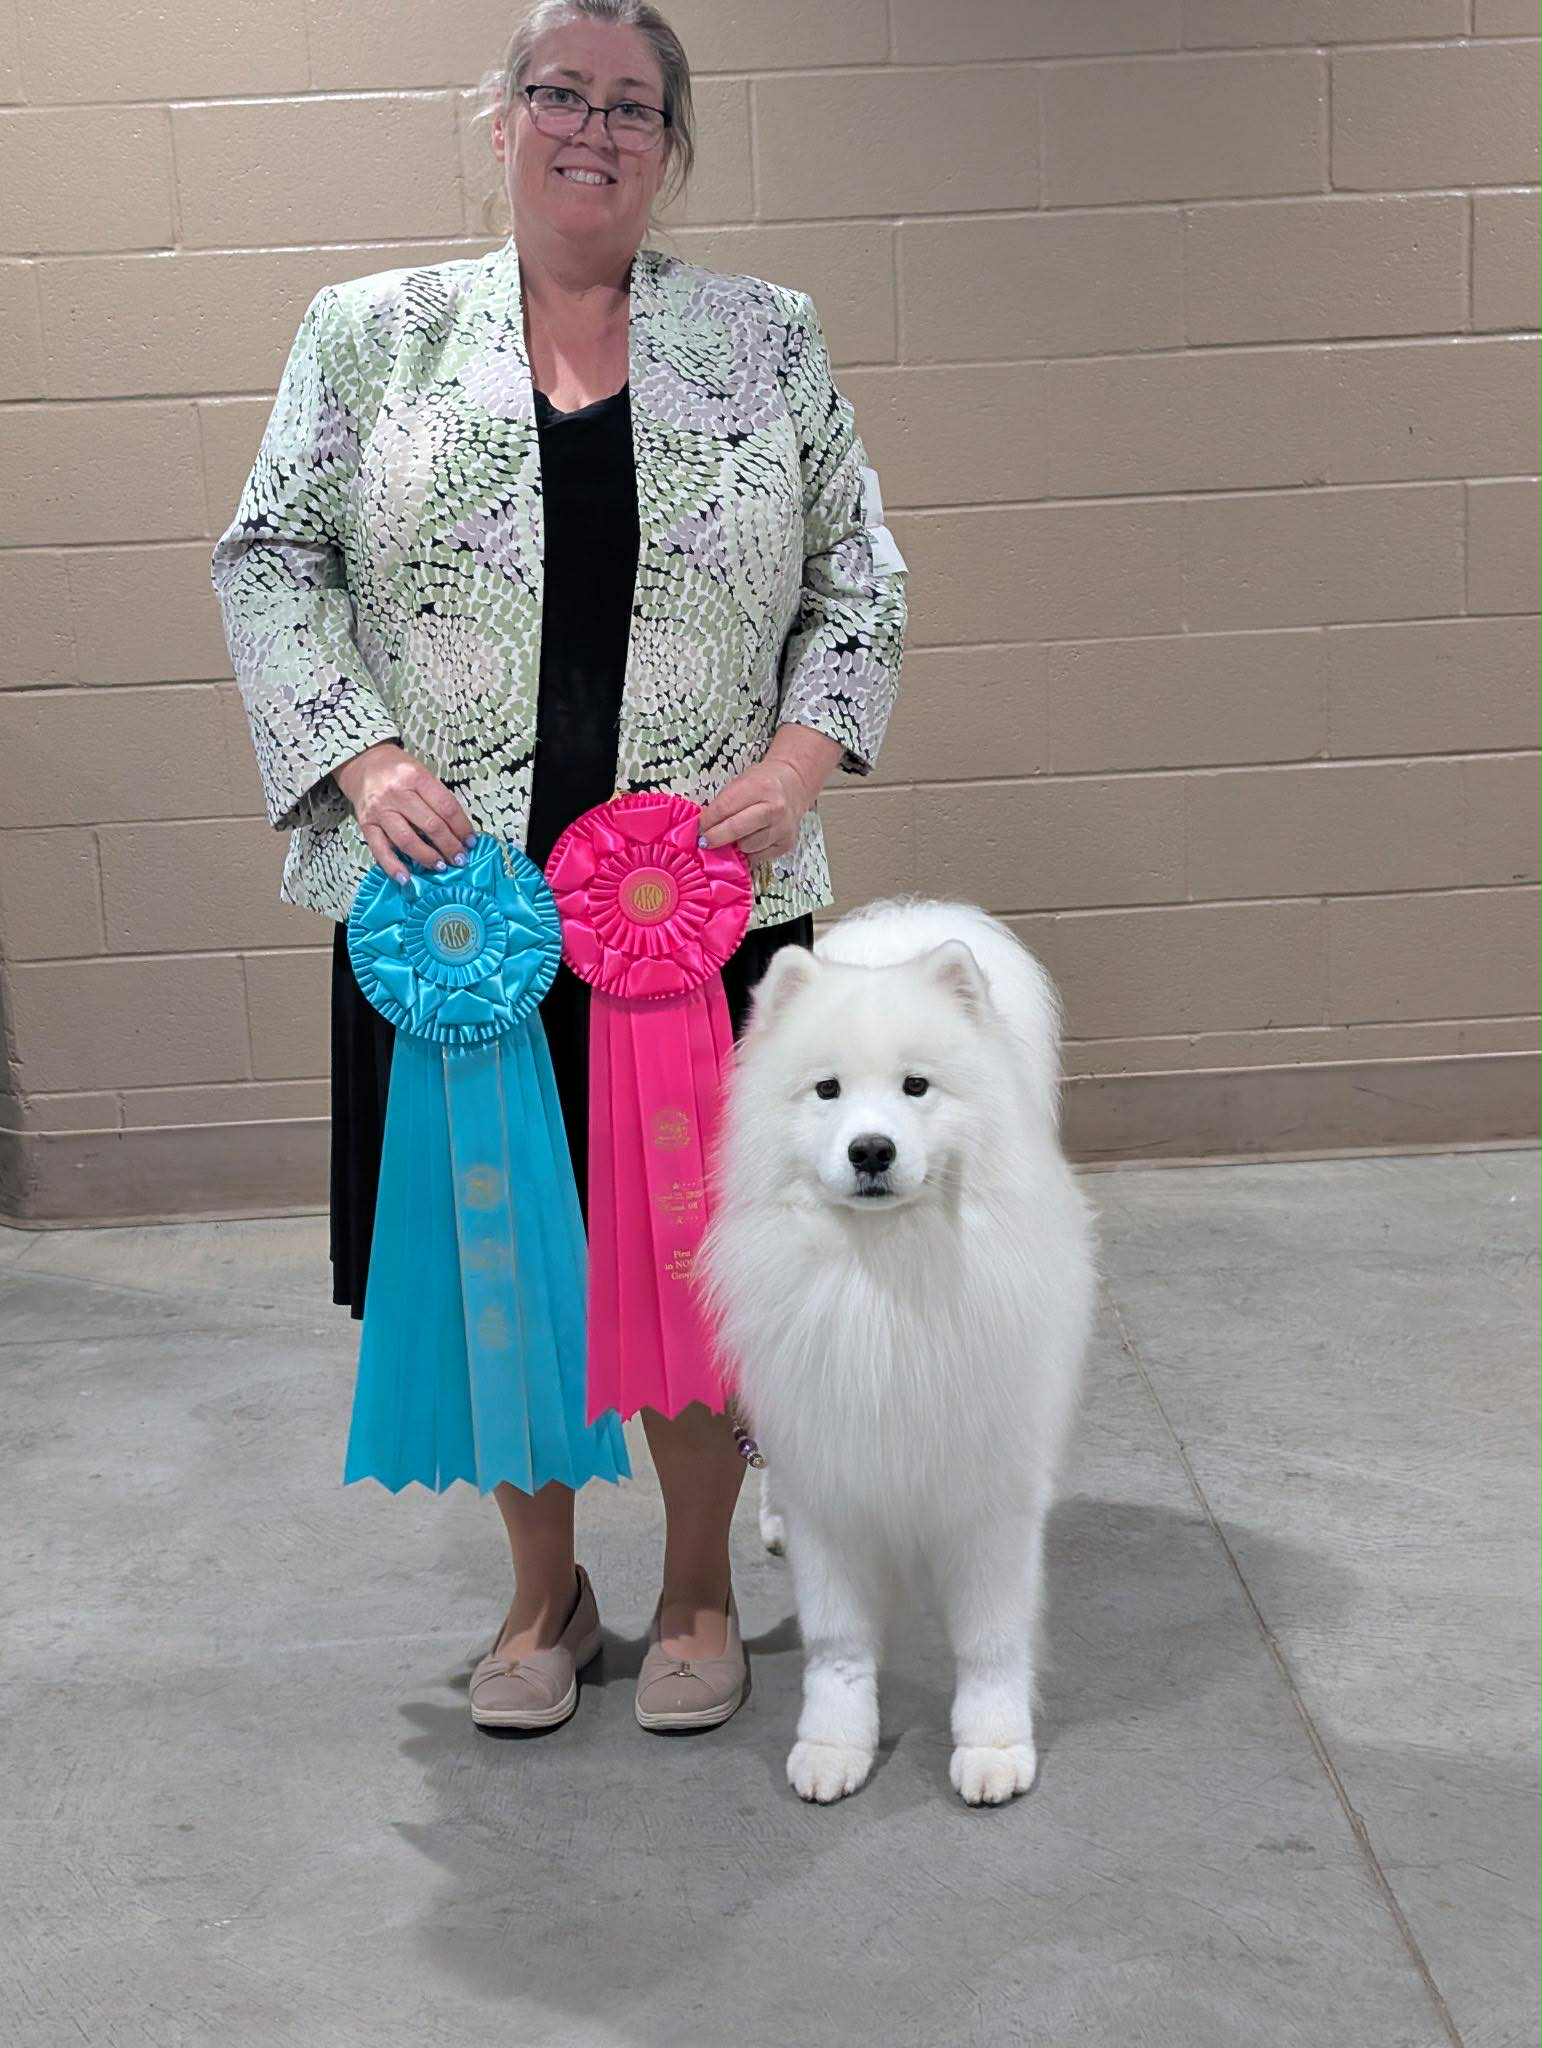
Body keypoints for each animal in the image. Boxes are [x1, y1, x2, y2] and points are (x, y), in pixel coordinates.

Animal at [698, 897, 1097, 1806]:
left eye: (917, 1087)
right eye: (828, 1091)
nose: (871, 1150)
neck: (883, 1281)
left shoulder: (990, 1490)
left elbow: (991, 1637)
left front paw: (994, 1747)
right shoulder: (832, 1478)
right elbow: (838, 1643)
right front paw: (833, 1745)